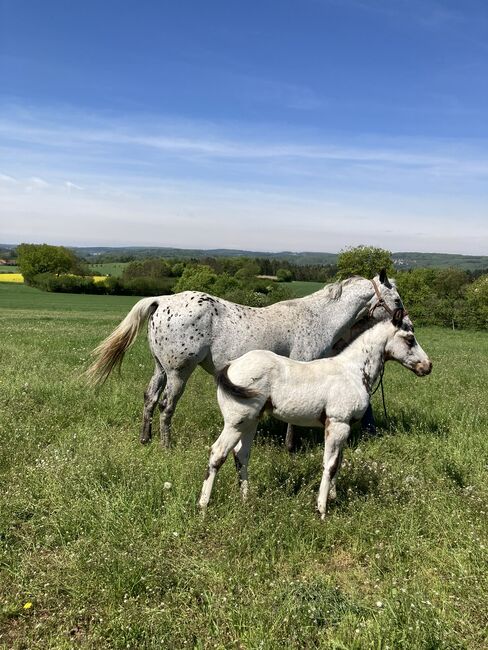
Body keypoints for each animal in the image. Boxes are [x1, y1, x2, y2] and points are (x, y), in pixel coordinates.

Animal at [87, 268, 408, 446]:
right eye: (397, 299)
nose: (406, 323)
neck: (319, 318)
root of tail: (161, 301)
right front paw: (291, 447)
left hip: (161, 369)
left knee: (150, 398)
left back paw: (145, 439)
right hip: (179, 372)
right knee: (166, 405)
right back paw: (167, 446)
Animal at [198, 308, 430, 516]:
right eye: (410, 339)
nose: (428, 366)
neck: (351, 371)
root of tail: (231, 365)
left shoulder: (342, 427)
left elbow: (338, 462)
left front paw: (333, 498)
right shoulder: (337, 423)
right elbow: (330, 465)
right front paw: (322, 510)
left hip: (251, 421)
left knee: (241, 455)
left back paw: (246, 500)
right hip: (236, 422)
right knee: (218, 453)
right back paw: (203, 507)